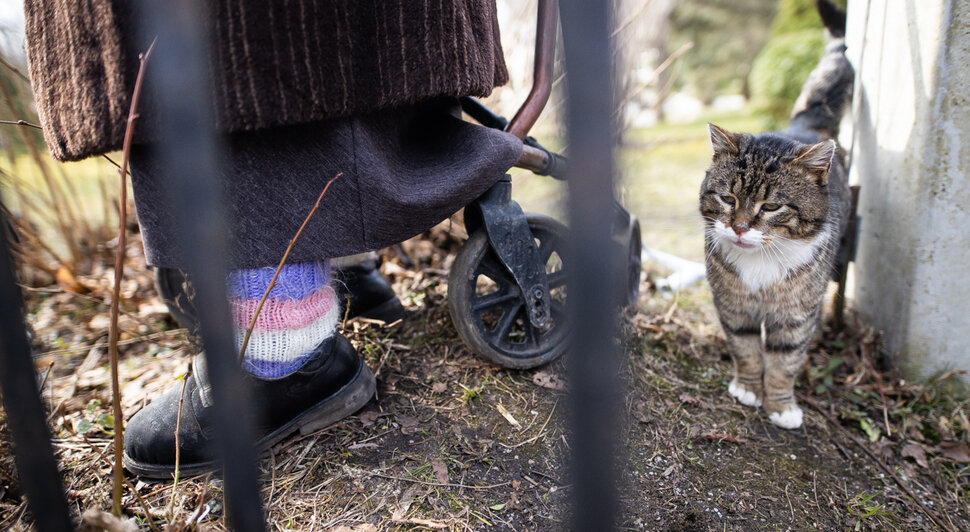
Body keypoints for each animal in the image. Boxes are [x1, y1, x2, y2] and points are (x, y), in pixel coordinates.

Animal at [700, 0, 852, 430]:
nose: (738, 228)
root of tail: (805, 123)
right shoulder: (733, 306)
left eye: (770, 207)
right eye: (728, 199)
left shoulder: (797, 316)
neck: (762, 264)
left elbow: (785, 361)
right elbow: (746, 348)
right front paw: (749, 388)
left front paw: (782, 406)